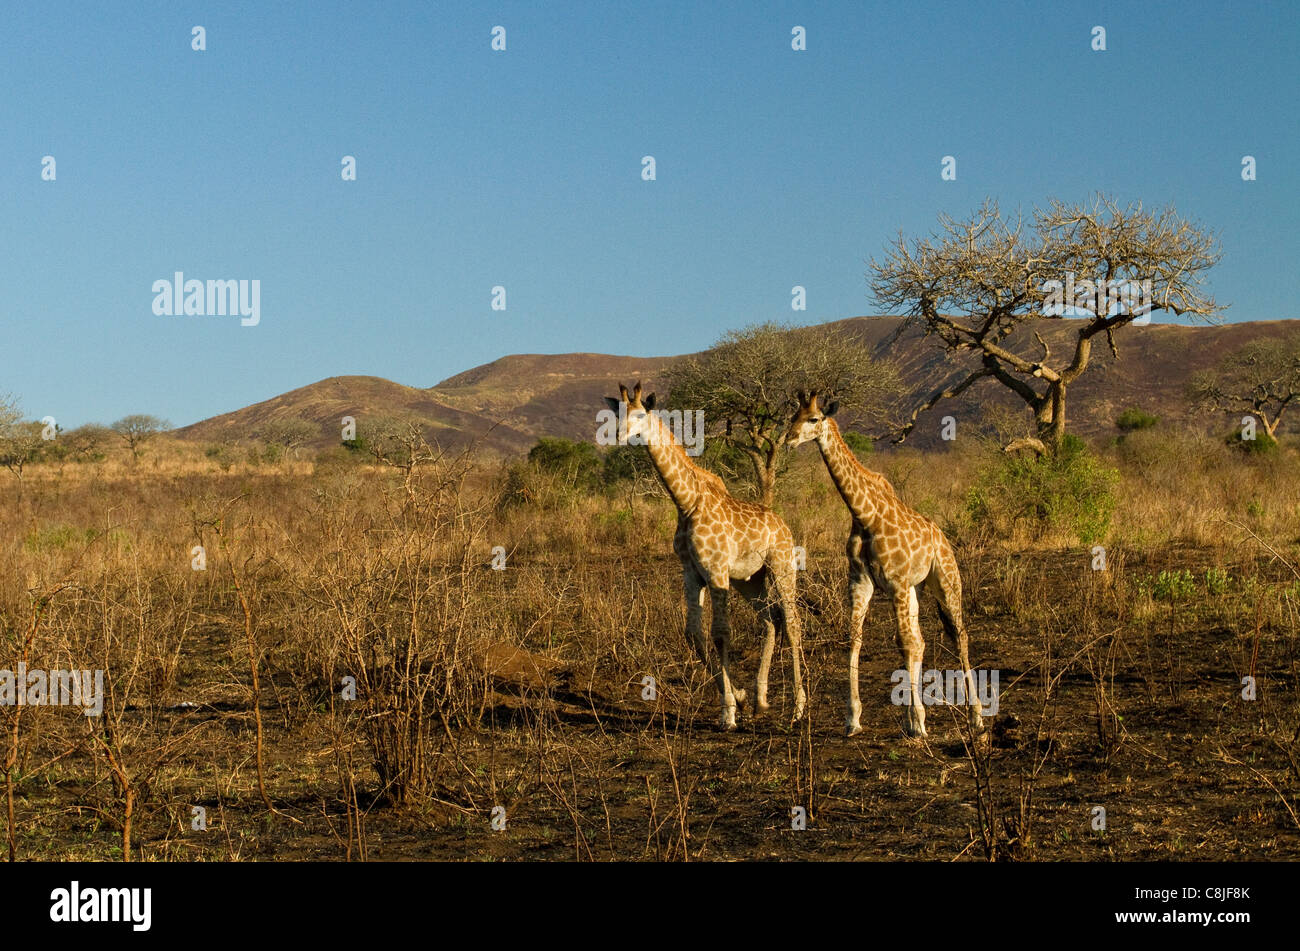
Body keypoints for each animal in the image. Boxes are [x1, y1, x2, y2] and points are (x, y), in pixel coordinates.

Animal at [604, 382, 806, 730]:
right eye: (618, 413)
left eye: (640, 414)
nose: (618, 436)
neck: (686, 502)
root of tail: (783, 525)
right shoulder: (692, 572)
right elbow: (693, 635)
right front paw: (740, 698)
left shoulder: (715, 571)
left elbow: (721, 635)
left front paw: (729, 713)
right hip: (749, 579)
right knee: (770, 619)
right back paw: (760, 700)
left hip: (780, 565)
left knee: (792, 622)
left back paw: (798, 708)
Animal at [784, 391, 983, 738]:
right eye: (794, 416)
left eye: (814, 419)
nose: (790, 439)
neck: (864, 514)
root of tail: (942, 538)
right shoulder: (862, 582)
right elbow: (855, 641)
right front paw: (854, 718)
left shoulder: (896, 582)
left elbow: (903, 644)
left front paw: (916, 722)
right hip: (915, 589)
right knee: (921, 641)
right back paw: (916, 717)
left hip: (945, 580)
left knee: (959, 636)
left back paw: (975, 717)